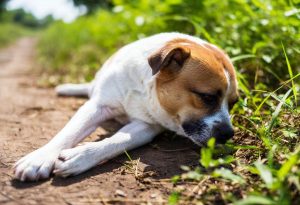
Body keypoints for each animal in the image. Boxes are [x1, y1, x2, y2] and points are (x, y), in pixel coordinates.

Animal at [13, 32, 239, 181]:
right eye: (207, 97)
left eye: (233, 103)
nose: (228, 134)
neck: (145, 88)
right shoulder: (97, 106)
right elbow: (67, 133)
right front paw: (40, 157)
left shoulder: (146, 126)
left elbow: (118, 140)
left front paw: (81, 156)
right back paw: (67, 88)